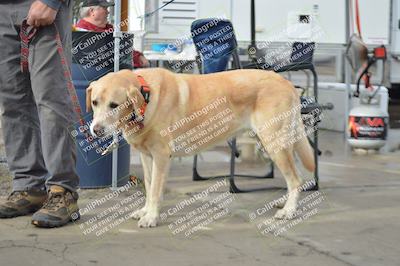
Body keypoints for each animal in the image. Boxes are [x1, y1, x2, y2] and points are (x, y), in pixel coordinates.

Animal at [86, 67, 316, 228]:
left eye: (114, 105)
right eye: (95, 102)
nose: (96, 130)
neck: (146, 98)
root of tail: (286, 83)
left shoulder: (161, 156)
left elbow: (155, 190)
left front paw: (151, 217)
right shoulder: (147, 156)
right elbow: (150, 186)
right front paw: (145, 211)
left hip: (274, 142)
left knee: (296, 179)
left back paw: (289, 211)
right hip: (274, 142)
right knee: (292, 178)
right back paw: (285, 203)